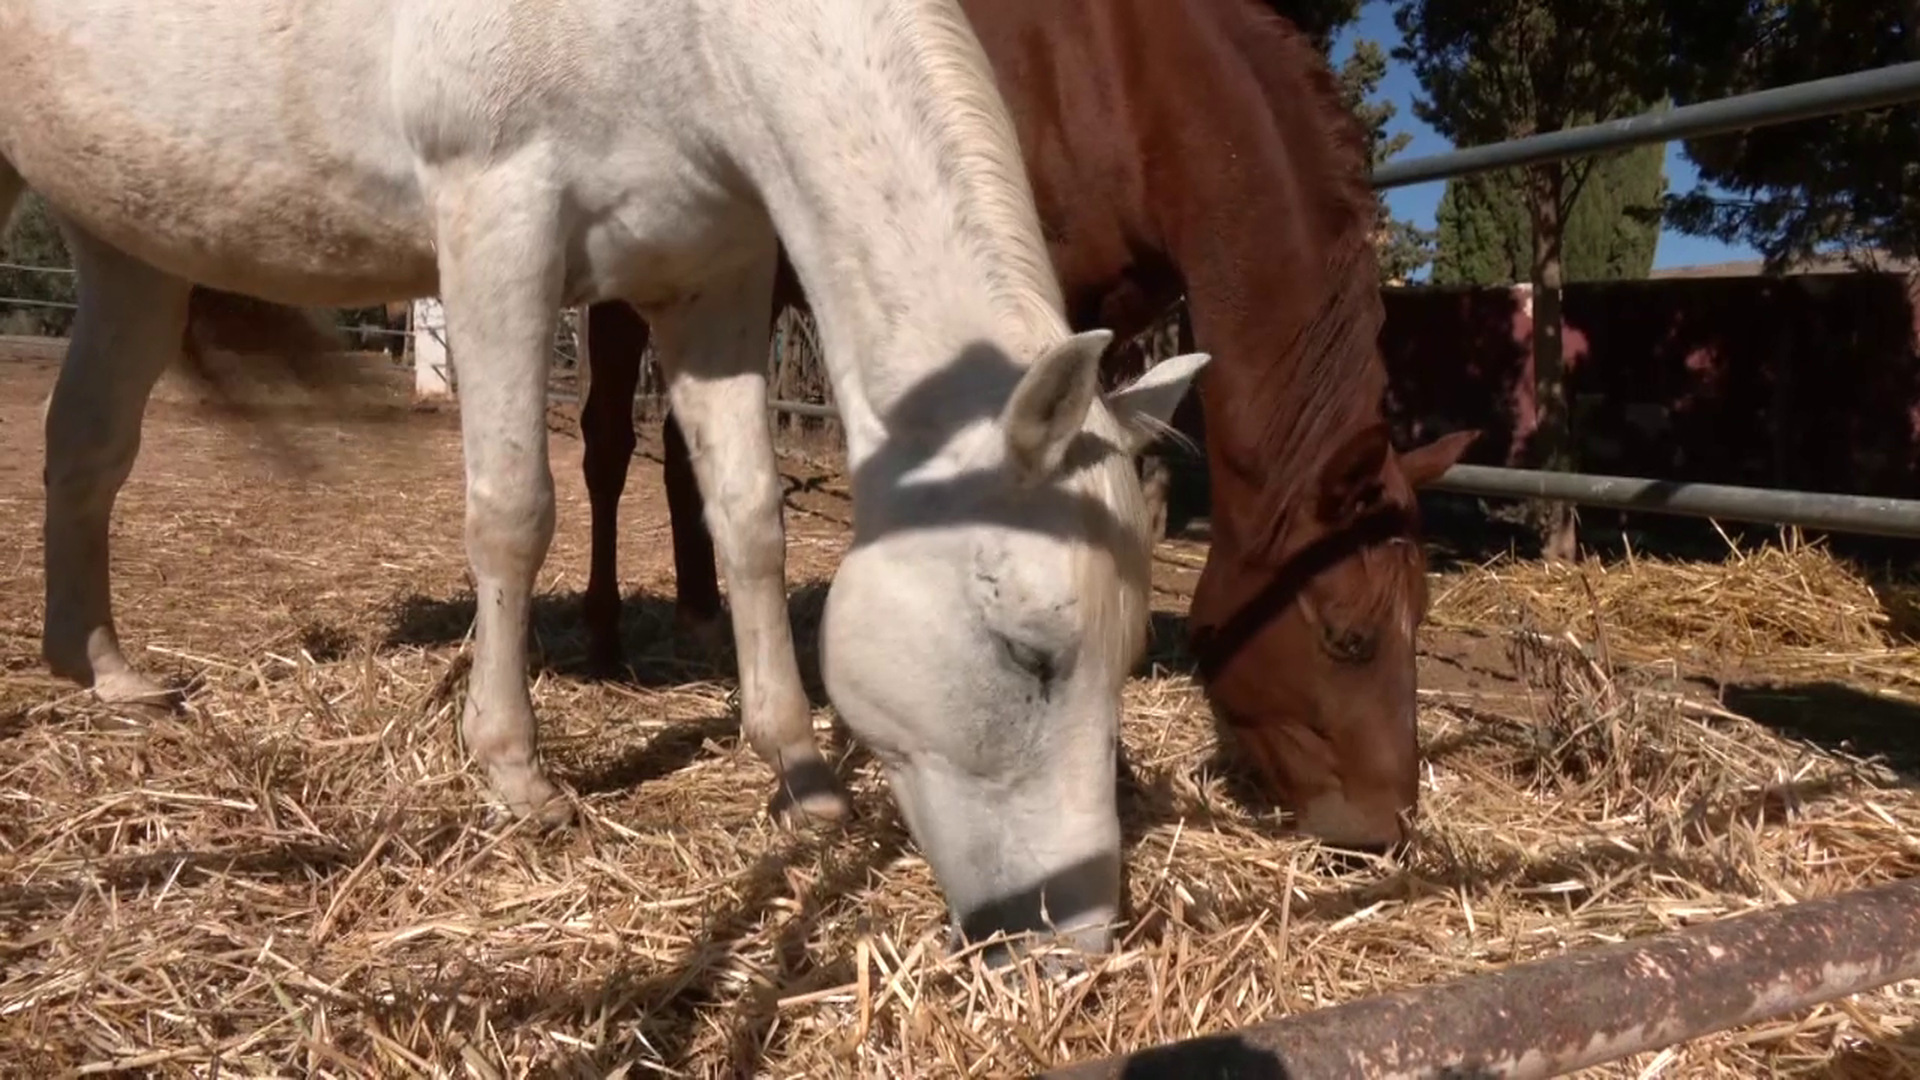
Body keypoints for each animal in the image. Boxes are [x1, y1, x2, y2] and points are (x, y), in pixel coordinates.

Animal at [0, 0, 1205, 958]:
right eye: (1028, 653)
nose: (1075, 941)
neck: (685, 32)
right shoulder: (499, 224)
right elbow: (514, 511)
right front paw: (515, 772)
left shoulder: (713, 278)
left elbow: (748, 516)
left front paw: (798, 769)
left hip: (127, 244)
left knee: (88, 444)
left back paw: (105, 670)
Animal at [574, 0, 1479, 852]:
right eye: (1349, 637)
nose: (1384, 827)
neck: (1129, 74)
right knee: (607, 446)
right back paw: (606, 640)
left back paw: (700, 620)